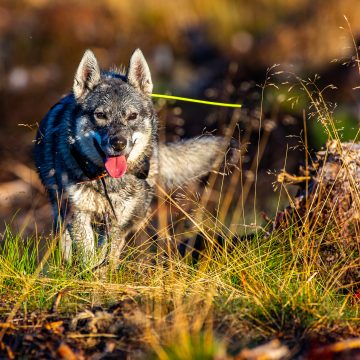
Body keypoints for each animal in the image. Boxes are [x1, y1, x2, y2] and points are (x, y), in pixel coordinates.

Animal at [35, 49, 229, 266]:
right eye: (100, 115)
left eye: (132, 116)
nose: (118, 143)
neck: (108, 181)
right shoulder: (79, 216)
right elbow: (89, 256)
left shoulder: (117, 222)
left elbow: (106, 259)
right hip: (62, 213)